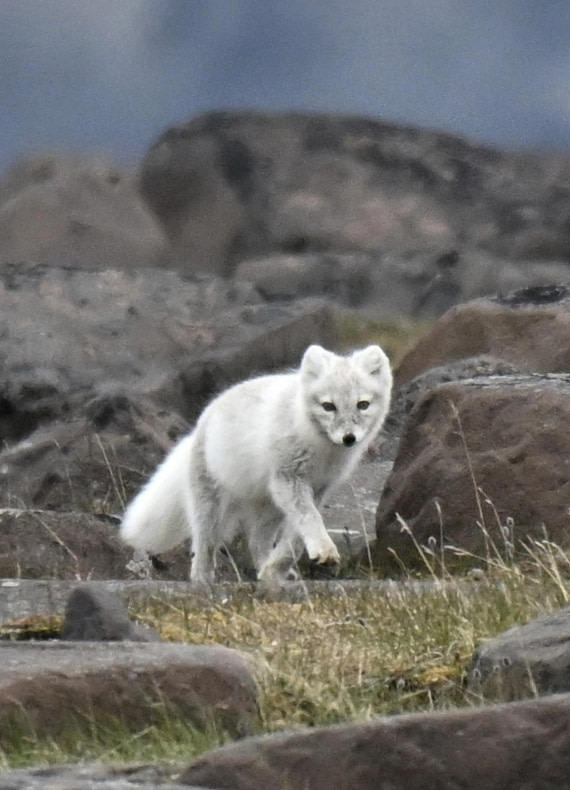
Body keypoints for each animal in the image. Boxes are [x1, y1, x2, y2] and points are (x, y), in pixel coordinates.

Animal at [120, 344, 393, 584]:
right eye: (328, 406)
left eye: (363, 405)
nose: (349, 438)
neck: (322, 450)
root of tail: (199, 426)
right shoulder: (289, 478)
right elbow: (310, 519)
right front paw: (323, 548)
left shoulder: (318, 488)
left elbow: (296, 537)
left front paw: (277, 567)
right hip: (212, 507)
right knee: (203, 545)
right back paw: (203, 581)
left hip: (270, 507)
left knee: (255, 542)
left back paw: (268, 572)